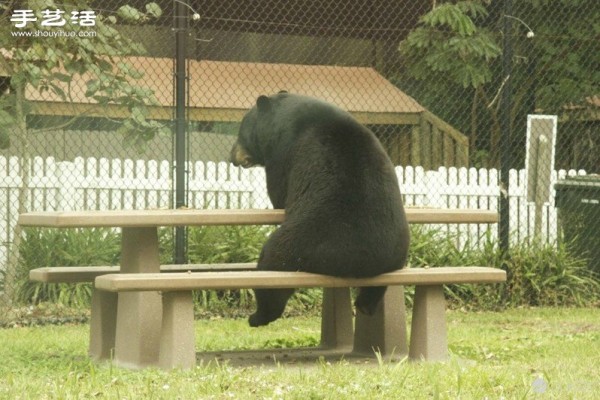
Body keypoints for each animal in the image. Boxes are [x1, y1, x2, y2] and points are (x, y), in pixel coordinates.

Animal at [229, 93, 408, 328]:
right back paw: (364, 306)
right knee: (374, 290)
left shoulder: (284, 150)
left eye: (241, 131)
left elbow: (279, 192)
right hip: (393, 257)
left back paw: (257, 317)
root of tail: (358, 261)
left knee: (272, 266)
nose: (232, 156)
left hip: (304, 239)